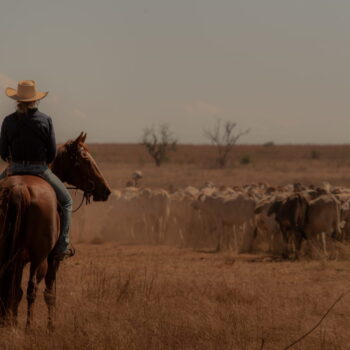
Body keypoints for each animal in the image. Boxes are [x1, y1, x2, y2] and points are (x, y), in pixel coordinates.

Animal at [0, 131, 110, 328]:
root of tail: (20, 188)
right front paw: (50, 327)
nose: (106, 190)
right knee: (32, 288)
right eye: (85, 160)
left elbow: (15, 291)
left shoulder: (18, 260)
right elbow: (49, 294)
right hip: (39, 256)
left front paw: (12, 323)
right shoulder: (52, 260)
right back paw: (29, 328)